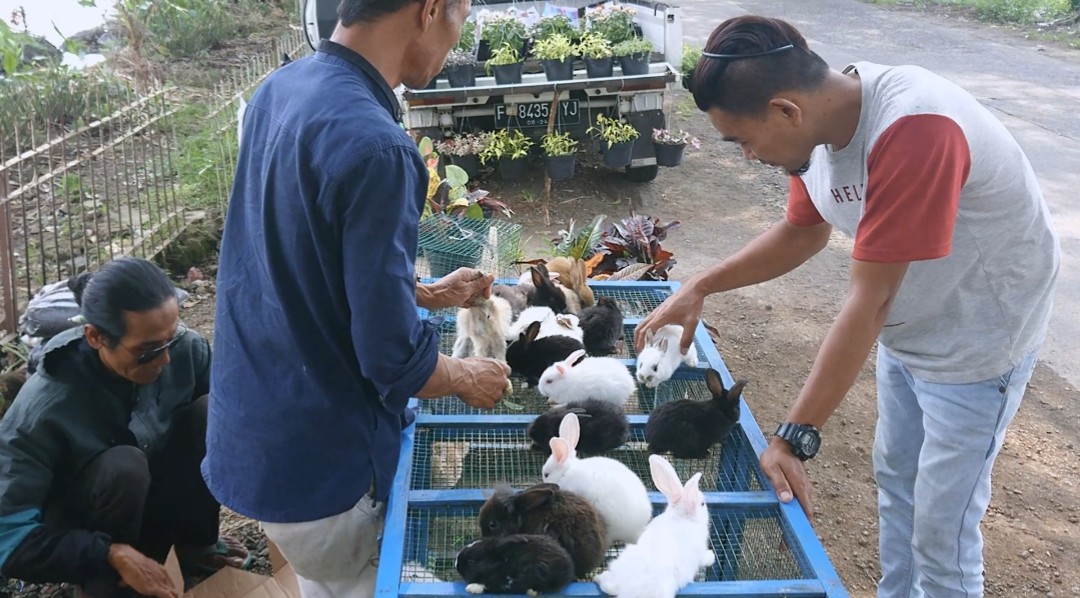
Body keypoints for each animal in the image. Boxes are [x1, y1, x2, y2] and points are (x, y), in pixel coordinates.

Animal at [591, 451, 717, 595]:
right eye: (702, 504)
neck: (681, 517)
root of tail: (627, 588)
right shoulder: (700, 551)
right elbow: (704, 558)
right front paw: (711, 557)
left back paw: (598, 578)